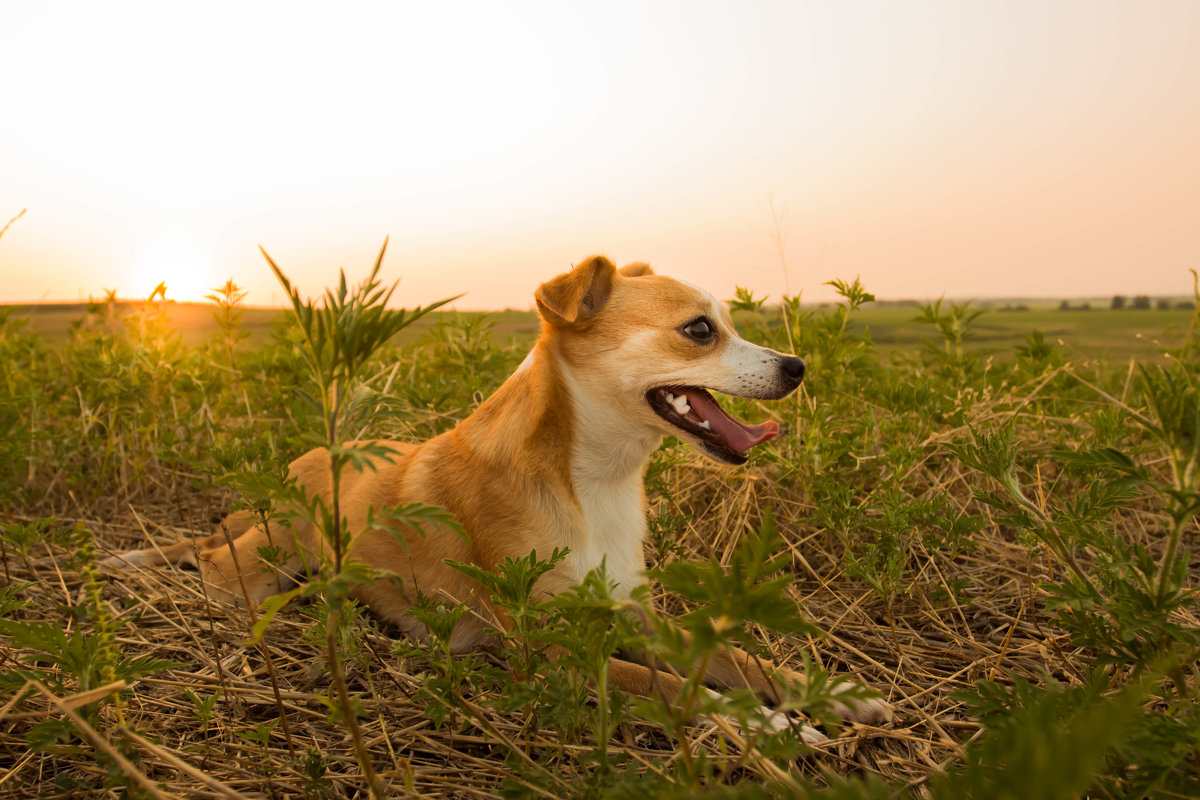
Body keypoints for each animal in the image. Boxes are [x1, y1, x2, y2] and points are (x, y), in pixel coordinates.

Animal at [108, 256, 892, 734]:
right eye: (701, 330)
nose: (796, 366)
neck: (594, 481)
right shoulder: (547, 648)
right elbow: (673, 687)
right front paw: (771, 724)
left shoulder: (632, 614)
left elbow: (738, 660)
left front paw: (834, 694)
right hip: (270, 556)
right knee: (219, 567)